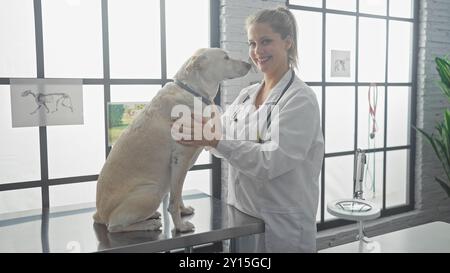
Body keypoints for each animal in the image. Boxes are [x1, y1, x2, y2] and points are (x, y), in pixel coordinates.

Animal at [93, 48, 251, 232]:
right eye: (225, 57)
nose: (249, 64)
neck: (193, 91)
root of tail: (100, 214)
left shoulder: (182, 165)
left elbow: (179, 192)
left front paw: (183, 211)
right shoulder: (181, 159)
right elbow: (173, 201)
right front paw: (180, 226)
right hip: (152, 192)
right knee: (114, 226)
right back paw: (149, 223)